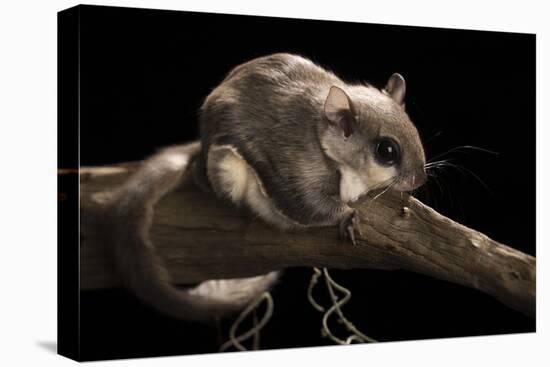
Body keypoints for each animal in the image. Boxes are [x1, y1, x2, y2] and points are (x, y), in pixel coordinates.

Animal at [112, 53, 430, 324]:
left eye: (415, 131)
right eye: (386, 151)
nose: (419, 180)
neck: (324, 138)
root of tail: (200, 151)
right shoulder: (296, 167)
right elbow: (309, 204)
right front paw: (348, 216)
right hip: (223, 166)